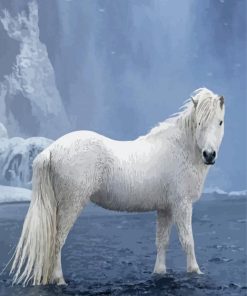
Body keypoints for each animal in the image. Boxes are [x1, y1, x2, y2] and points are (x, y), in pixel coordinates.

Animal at [10, 86, 225, 286]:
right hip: (71, 205)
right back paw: (59, 280)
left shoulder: (165, 208)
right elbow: (188, 241)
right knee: (57, 241)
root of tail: (51, 150)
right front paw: (195, 272)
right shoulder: (182, 205)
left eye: (220, 122)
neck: (179, 149)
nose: (209, 155)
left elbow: (161, 242)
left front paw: (159, 273)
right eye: (199, 122)